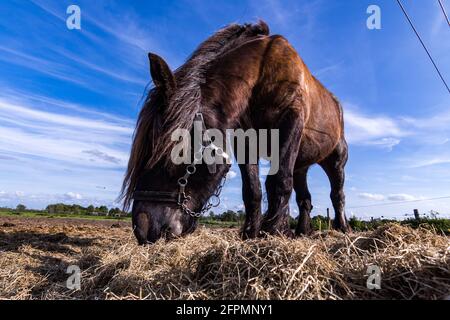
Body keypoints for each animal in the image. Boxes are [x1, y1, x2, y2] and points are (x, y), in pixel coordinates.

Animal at [121, 21, 350, 244]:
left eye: (173, 150)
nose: (144, 229)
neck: (263, 73)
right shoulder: (245, 140)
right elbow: (252, 189)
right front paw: (251, 233)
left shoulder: (290, 122)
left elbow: (279, 180)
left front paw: (275, 231)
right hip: (301, 166)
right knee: (305, 199)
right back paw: (302, 231)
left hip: (335, 161)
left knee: (337, 195)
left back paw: (343, 228)